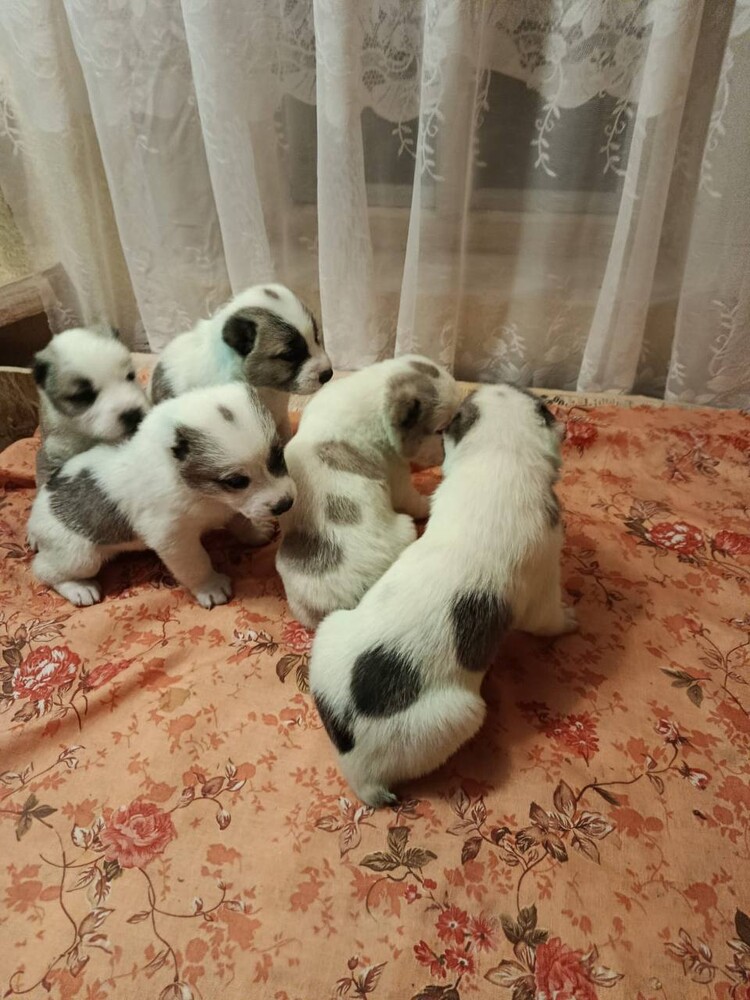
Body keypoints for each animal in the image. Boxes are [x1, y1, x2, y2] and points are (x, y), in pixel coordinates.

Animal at [28, 383, 296, 608]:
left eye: (277, 457)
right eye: (236, 481)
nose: (285, 504)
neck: (202, 493)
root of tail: (37, 509)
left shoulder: (232, 508)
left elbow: (241, 522)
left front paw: (256, 532)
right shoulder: (173, 538)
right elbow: (195, 563)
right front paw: (210, 586)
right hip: (79, 557)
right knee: (42, 569)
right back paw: (78, 588)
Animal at [276, 355, 462, 628]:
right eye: (440, 430)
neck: (375, 394)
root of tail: (343, 606)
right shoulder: (397, 475)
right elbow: (414, 500)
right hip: (405, 528)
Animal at [308, 383, 577, 807]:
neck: (498, 455)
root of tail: (358, 775)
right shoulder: (544, 579)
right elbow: (549, 618)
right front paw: (570, 620)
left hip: (331, 627)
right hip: (462, 714)